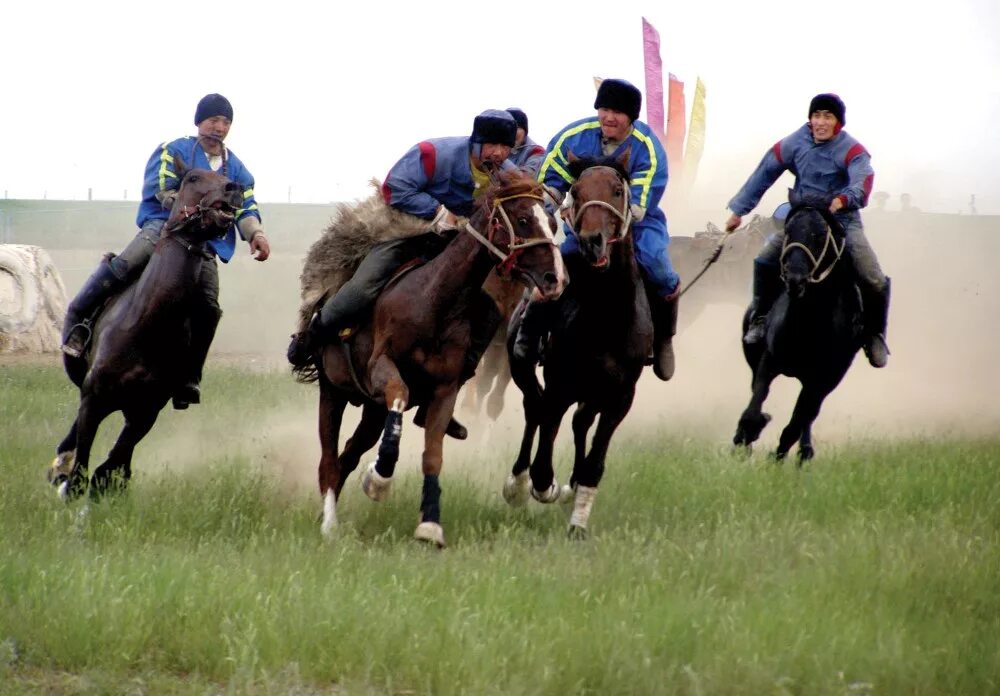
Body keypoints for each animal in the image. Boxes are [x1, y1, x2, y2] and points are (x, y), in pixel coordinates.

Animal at [308, 167, 568, 544]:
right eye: (522, 219)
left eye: (551, 221)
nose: (555, 279)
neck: (435, 302)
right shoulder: (381, 367)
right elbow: (399, 394)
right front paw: (380, 478)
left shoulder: (445, 389)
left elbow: (432, 456)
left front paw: (429, 523)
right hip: (333, 392)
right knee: (329, 460)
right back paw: (329, 524)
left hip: (371, 411)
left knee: (349, 454)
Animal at [504, 154, 652, 540]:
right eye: (577, 191)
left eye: (617, 190)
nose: (591, 242)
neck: (607, 318)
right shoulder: (561, 385)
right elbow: (544, 455)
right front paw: (544, 487)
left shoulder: (620, 396)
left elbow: (594, 464)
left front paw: (578, 521)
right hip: (523, 367)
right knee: (534, 408)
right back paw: (517, 484)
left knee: (579, 422)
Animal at [732, 196, 864, 462]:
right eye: (788, 230)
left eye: (820, 235)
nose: (795, 278)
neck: (806, 325)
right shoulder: (769, 362)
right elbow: (753, 408)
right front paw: (746, 438)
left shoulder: (821, 379)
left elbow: (795, 425)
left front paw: (777, 458)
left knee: (807, 416)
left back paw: (805, 451)